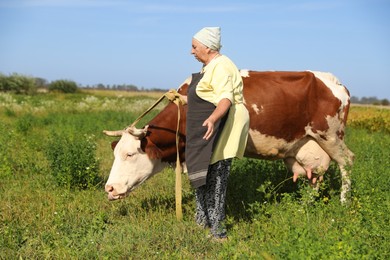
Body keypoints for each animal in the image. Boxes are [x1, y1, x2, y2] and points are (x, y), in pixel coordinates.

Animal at [103, 71, 354, 203]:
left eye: (130, 154)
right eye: (115, 153)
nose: (110, 188)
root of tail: (336, 82)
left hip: (332, 136)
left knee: (347, 163)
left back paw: (343, 203)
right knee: (316, 176)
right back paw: (305, 204)